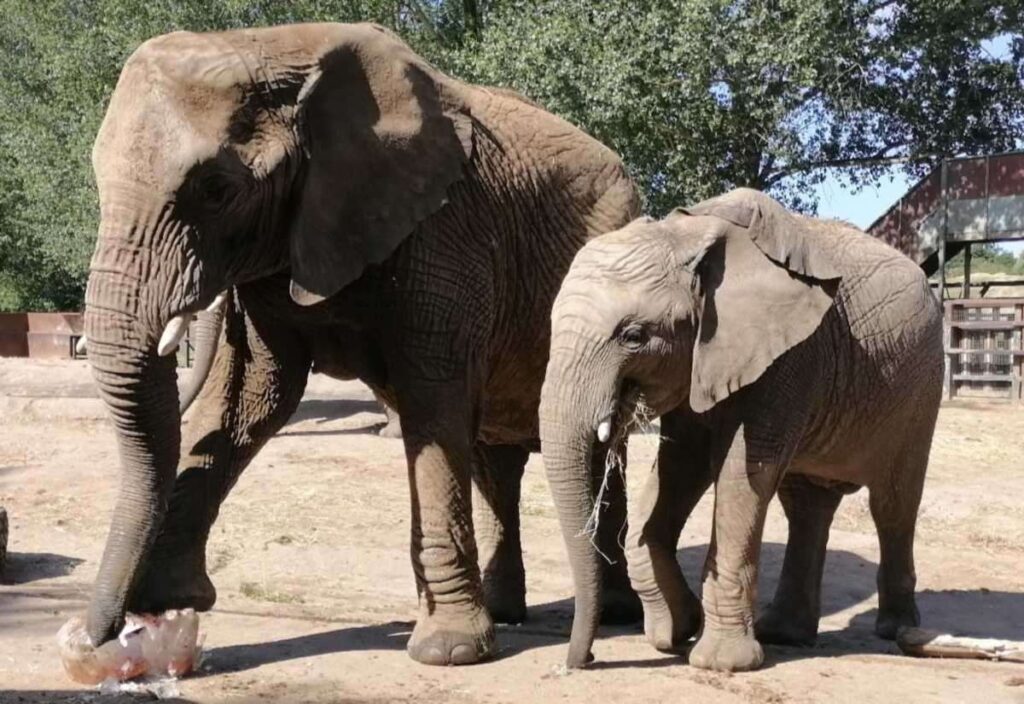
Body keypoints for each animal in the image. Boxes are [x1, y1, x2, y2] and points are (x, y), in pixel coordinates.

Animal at [74, 22, 643, 669]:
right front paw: (168, 600)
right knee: (494, 456)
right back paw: (506, 611)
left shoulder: (445, 231)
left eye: (216, 189)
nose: (102, 638)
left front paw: (448, 652)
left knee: (598, 448)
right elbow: (253, 397)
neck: (276, 45)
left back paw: (616, 614)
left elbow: (432, 404)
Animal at [539, 188, 944, 672]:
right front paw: (673, 632)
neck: (688, 233)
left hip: (921, 389)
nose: (580, 661)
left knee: (893, 504)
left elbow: (741, 474)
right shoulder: (701, 359)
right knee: (806, 506)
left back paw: (895, 630)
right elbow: (681, 464)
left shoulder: (790, 352)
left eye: (633, 336)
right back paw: (784, 634)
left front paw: (720, 663)